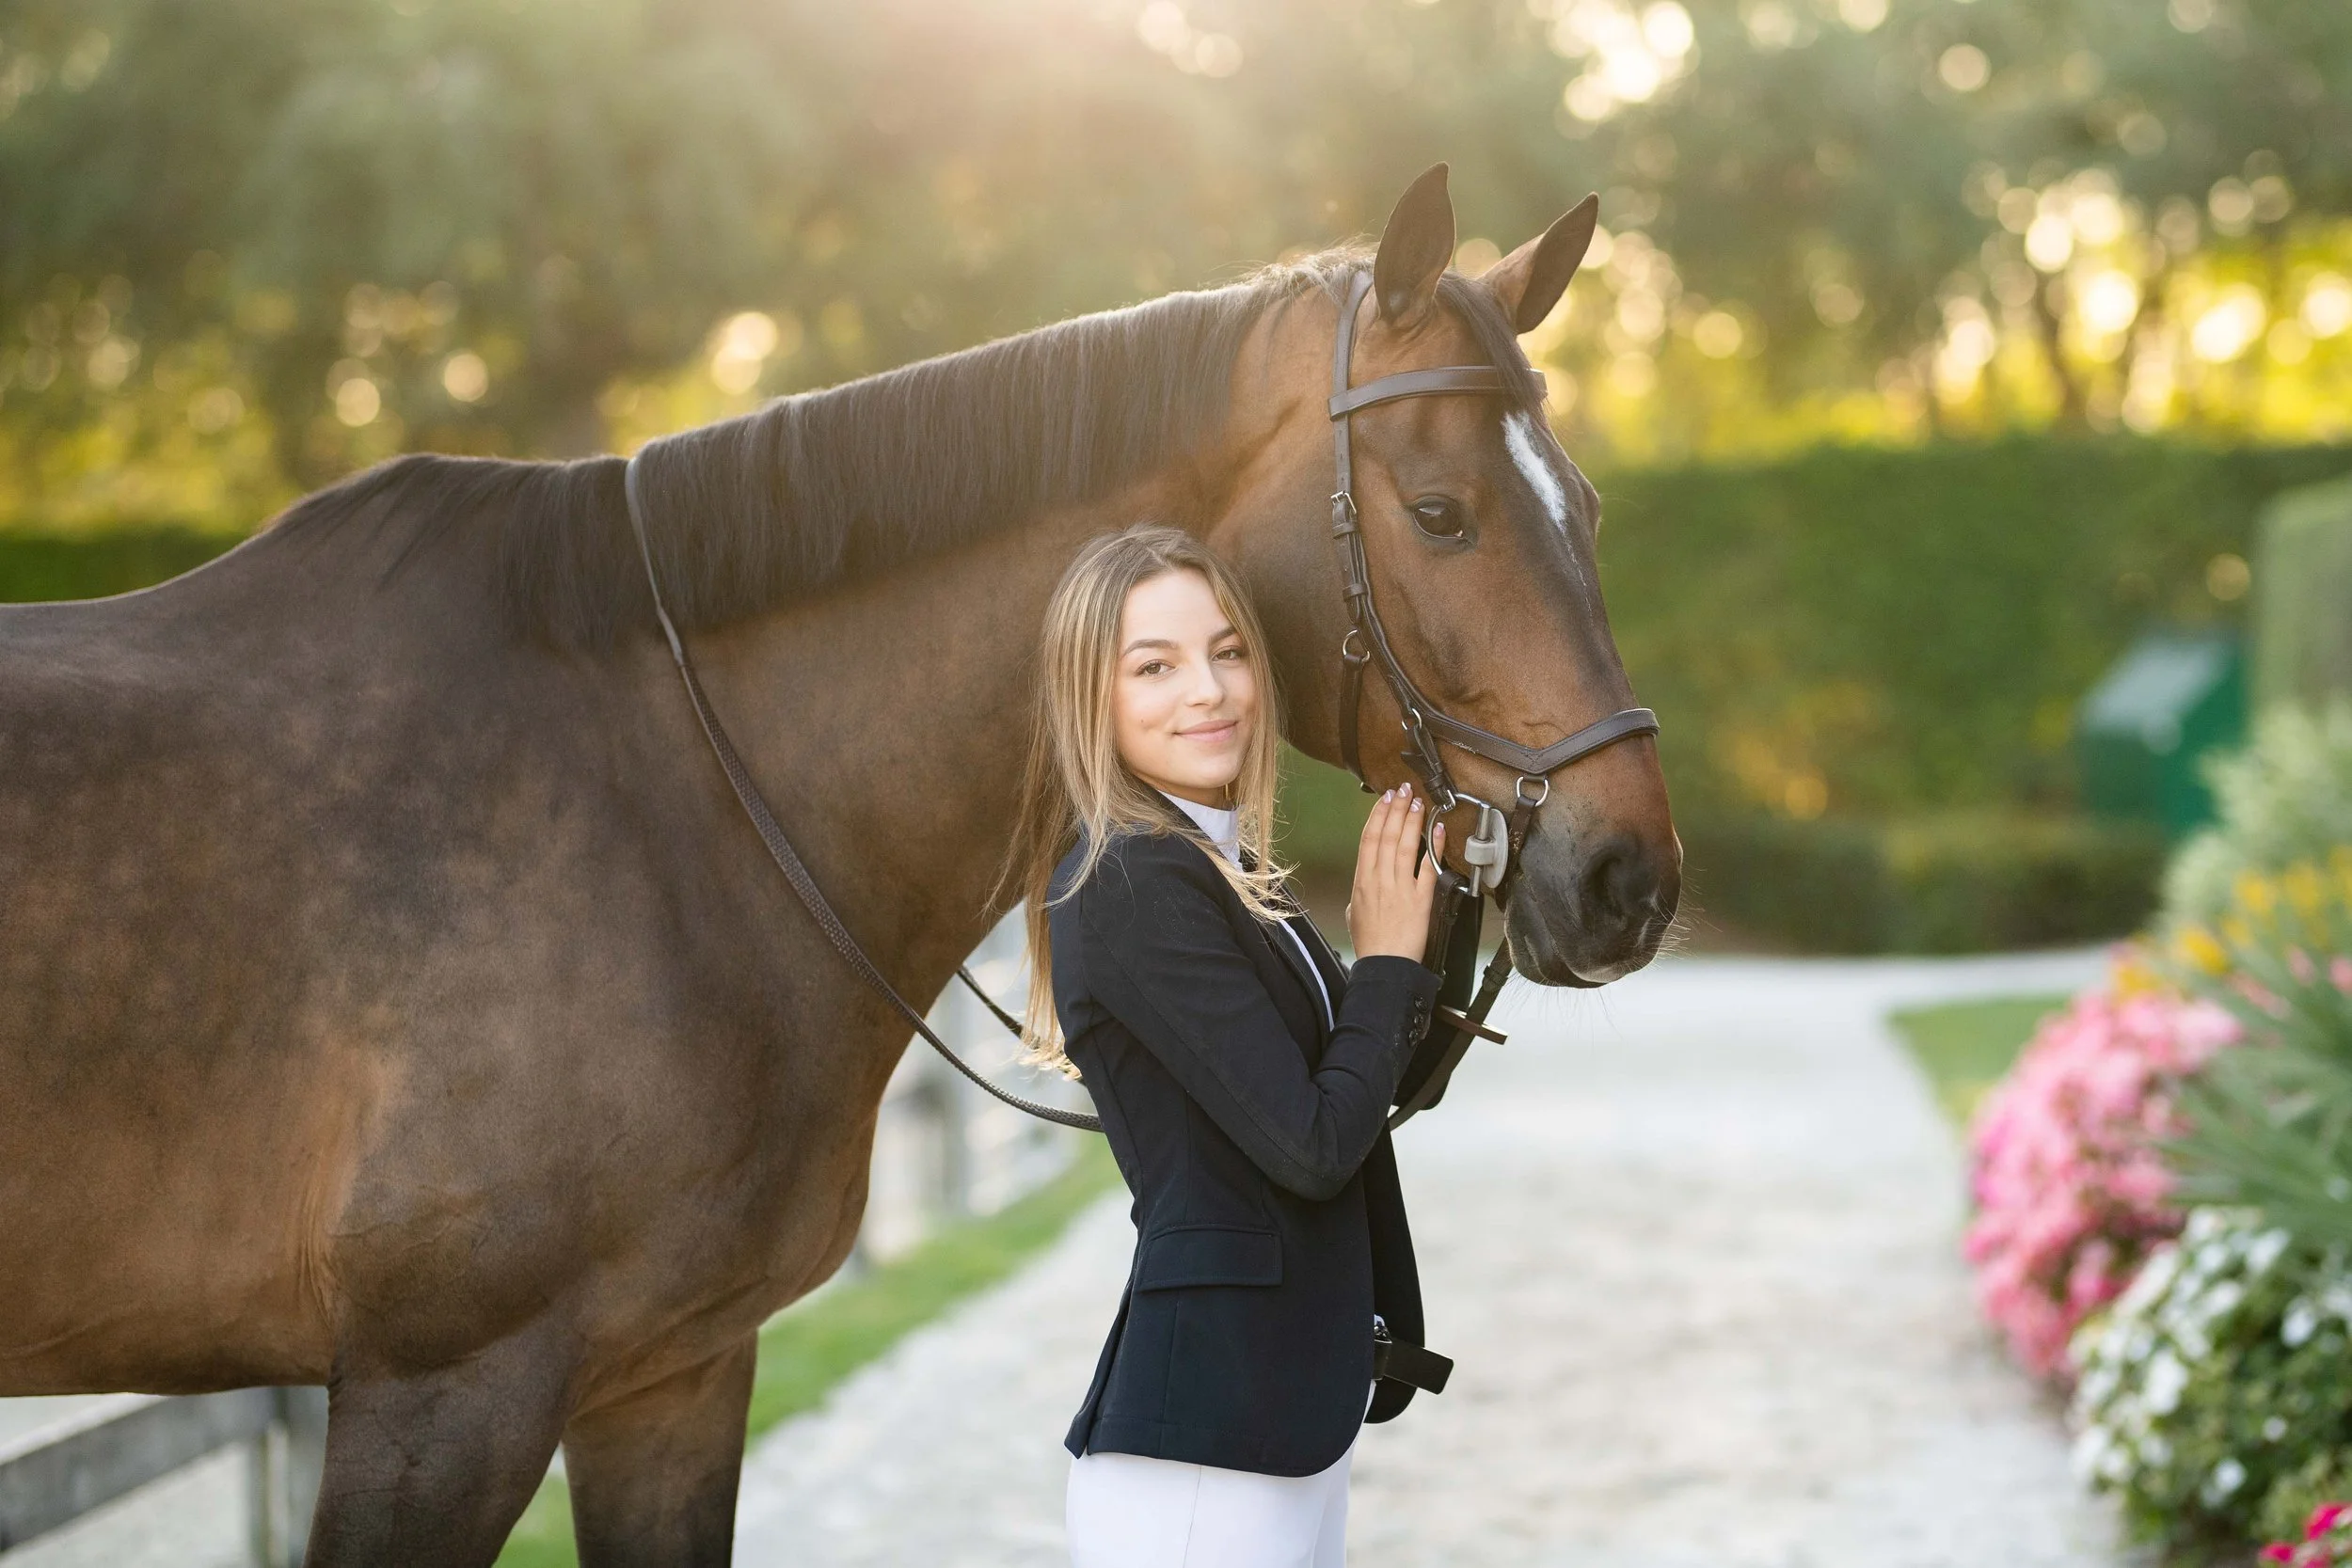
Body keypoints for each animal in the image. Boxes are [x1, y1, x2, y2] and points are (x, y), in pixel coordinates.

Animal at [0, 164, 1677, 1563]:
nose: (1631, 880)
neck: (667, 798)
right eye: (1441, 513)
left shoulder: (669, 1371)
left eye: (1594, 507)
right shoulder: (443, 1391)